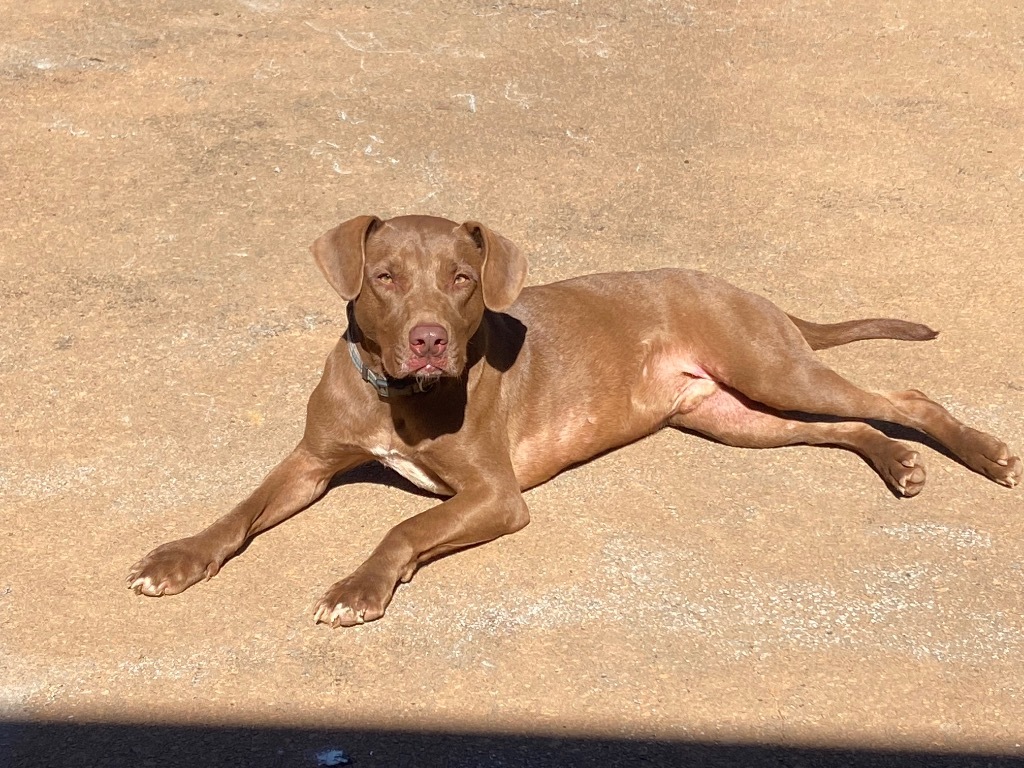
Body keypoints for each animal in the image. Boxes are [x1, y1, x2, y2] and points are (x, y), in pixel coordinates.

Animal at [130, 214, 1024, 626]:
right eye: (384, 276)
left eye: (461, 279)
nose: (428, 339)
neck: (397, 396)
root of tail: (739, 286)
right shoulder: (312, 460)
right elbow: (238, 512)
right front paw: (178, 557)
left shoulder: (495, 495)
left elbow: (402, 530)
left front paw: (361, 586)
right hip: (737, 414)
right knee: (850, 428)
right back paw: (898, 464)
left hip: (774, 371)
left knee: (902, 401)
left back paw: (982, 454)